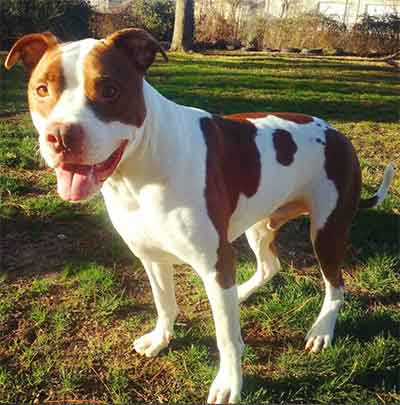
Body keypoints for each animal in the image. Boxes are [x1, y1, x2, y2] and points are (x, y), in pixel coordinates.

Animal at [5, 29, 394, 404]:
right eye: (42, 89)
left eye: (109, 90)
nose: (60, 136)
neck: (141, 168)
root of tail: (337, 133)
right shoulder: (152, 257)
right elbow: (164, 303)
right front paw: (161, 339)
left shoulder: (214, 261)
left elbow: (227, 338)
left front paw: (229, 383)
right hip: (259, 224)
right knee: (269, 266)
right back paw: (242, 293)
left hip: (326, 230)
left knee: (336, 285)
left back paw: (321, 330)